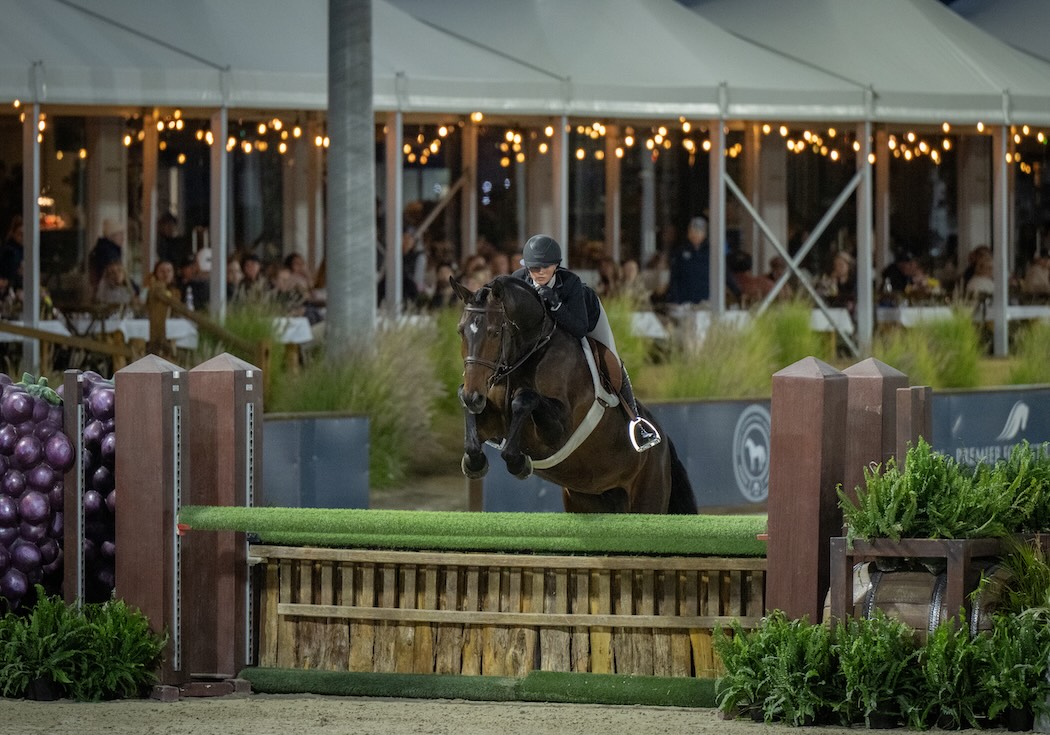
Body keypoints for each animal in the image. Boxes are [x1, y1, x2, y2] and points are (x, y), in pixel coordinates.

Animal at [452, 274, 697, 514]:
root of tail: (664, 443)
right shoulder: (491, 421)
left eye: (494, 333)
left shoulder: (558, 433)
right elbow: (471, 420)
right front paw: (474, 462)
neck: (529, 353)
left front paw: (519, 463)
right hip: (587, 498)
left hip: (648, 497)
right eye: (460, 331)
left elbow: (525, 398)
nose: (474, 397)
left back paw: (643, 436)